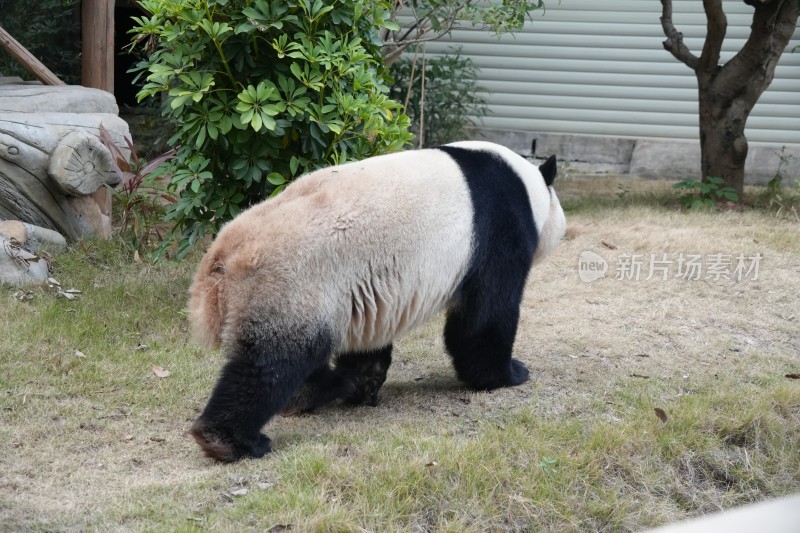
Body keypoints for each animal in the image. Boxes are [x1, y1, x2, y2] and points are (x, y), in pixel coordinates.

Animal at [186, 141, 568, 462]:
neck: (524, 183)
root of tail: (222, 257)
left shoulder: (364, 293)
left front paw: (369, 375)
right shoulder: (495, 233)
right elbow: (482, 320)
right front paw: (510, 373)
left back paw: (336, 387)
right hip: (292, 283)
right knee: (273, 363)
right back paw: (232, 440)